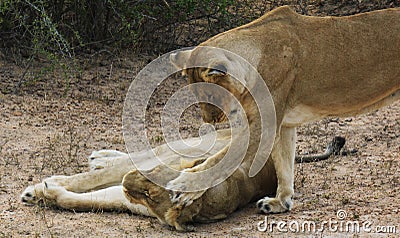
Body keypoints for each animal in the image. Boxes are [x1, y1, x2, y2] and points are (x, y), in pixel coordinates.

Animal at [20, 6, 398, 231]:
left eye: (210, 94)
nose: (211, 120)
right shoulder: (280, 124)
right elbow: (285, 164)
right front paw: (281, 202)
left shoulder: (263, 123)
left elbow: (214, 165)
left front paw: (184, 188)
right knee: (129, 160)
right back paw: (95, 161)